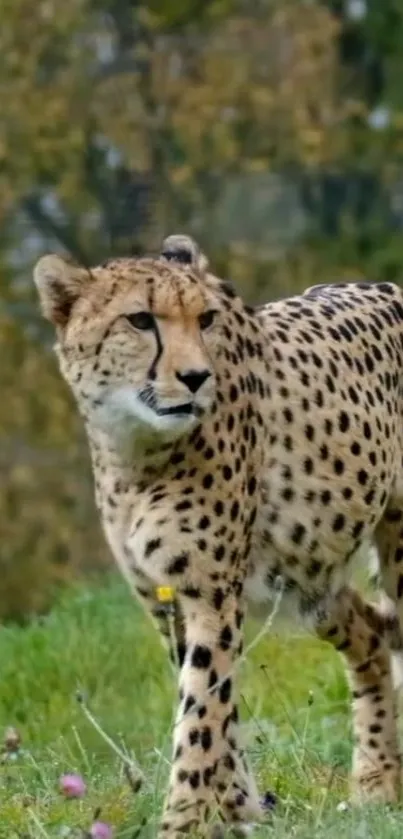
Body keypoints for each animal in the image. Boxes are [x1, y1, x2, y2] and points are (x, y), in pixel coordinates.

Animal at [34, 236, 403, 839]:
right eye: (140, 320)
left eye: (205, 319)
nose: (195, 377)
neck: (135, 451)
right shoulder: (165, 600)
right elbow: (217, 713)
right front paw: (237, 809)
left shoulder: (210, 593)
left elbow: (201, 715)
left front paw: (182, 821)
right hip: (309, 572)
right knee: (371, 632)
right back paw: (375, 784)